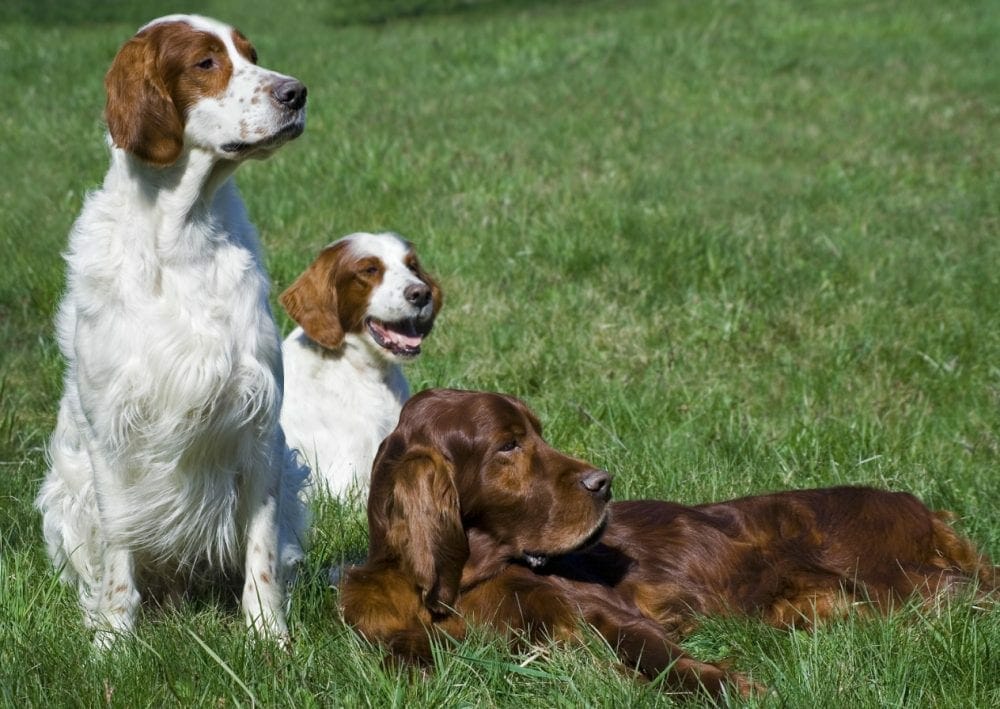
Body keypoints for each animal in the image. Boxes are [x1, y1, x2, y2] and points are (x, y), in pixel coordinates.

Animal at [36, 15, 308, 648]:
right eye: (206, 63)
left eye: (250, 54)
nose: (297, 93)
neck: (181, 239)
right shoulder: (111, 430)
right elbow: (119, 546)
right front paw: (113, 641)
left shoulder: (260, 424)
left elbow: (260, 550)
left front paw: (269, 635)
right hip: (65, 491)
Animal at [340, 388, 996, 696]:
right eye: (508, 445)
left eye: (537, 434)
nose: (603, 482)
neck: (460, 583)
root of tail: (918, 504)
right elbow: (410, 657)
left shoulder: (607, 615)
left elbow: (659, 657)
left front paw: (735, 688)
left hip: (903, 588)